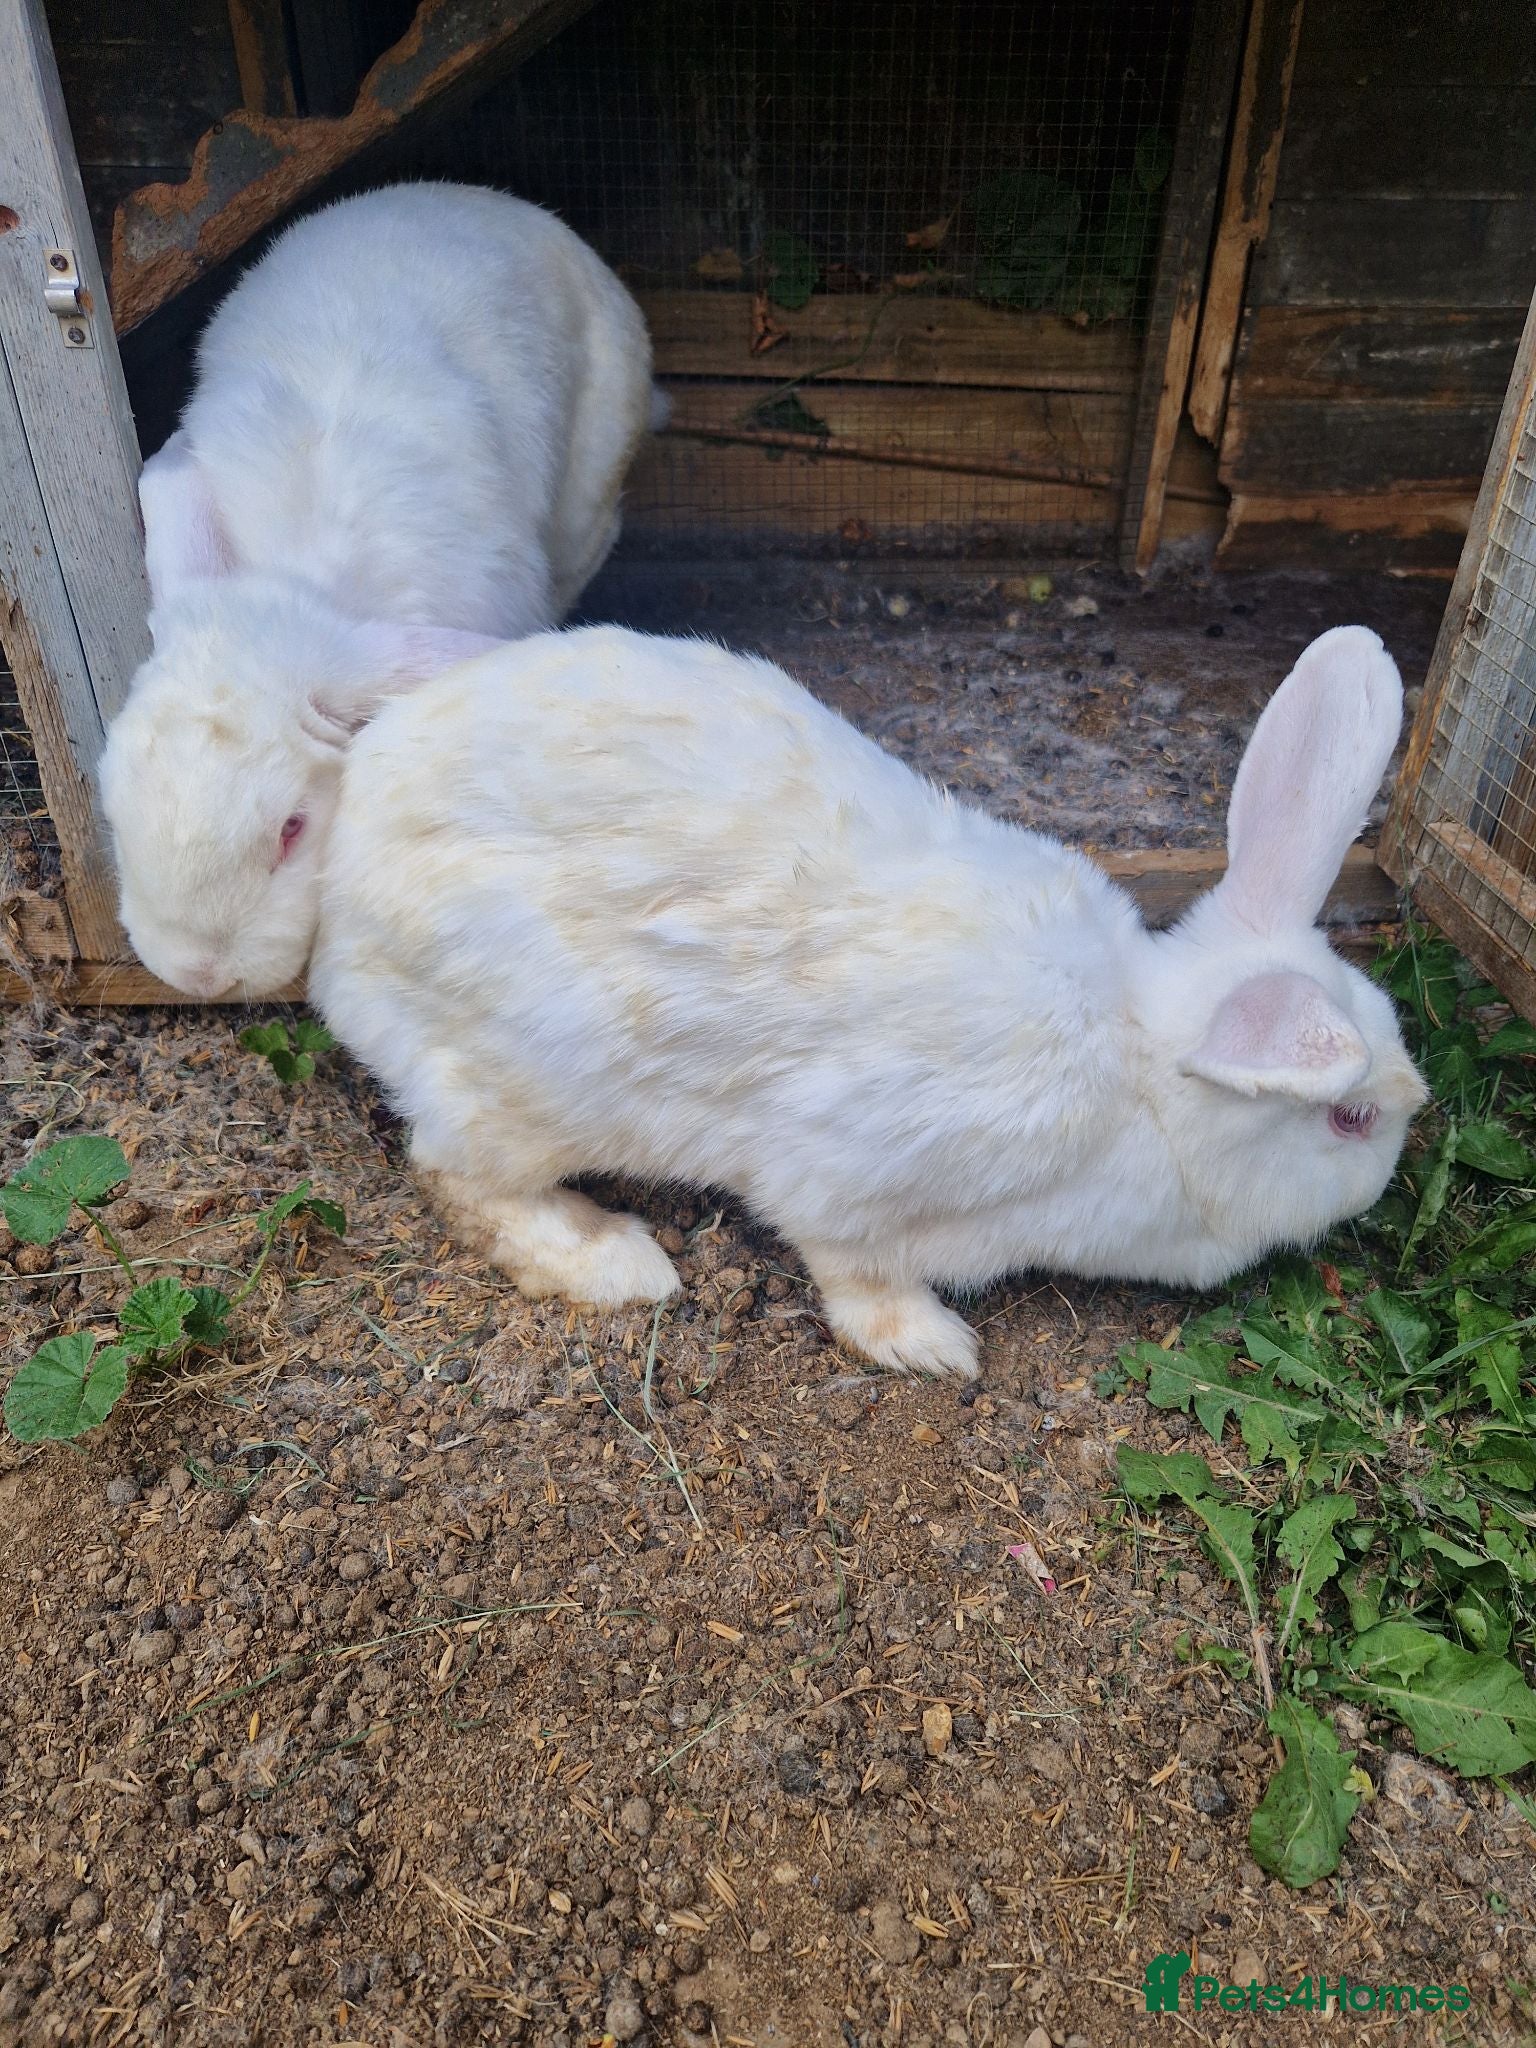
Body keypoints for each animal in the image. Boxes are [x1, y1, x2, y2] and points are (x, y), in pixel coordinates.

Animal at [305, 622, 1427, 1380]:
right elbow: (855, 1278)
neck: (1139, 1069)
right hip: (527, 1082)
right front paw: (933, 1345)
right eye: (1350, 1116)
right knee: (458, 1176)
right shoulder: (847, 1183)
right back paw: (618, 1261)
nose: (1389, 1172)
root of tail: (345, 859)